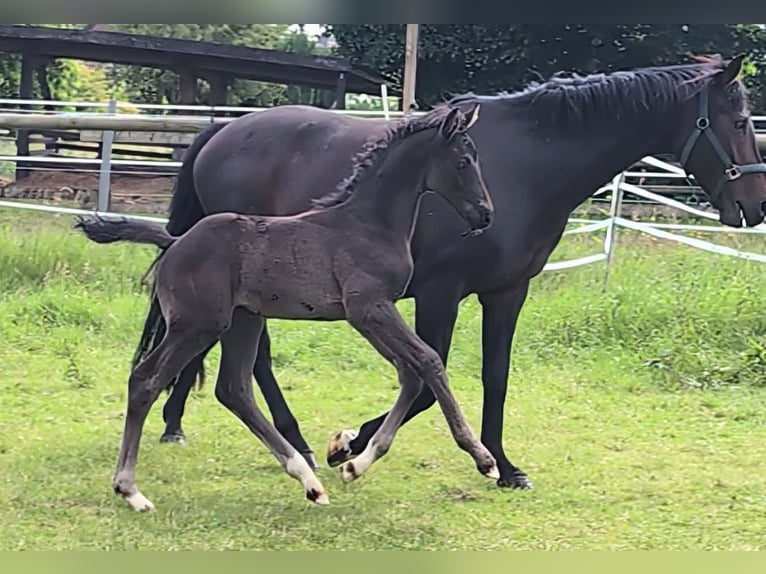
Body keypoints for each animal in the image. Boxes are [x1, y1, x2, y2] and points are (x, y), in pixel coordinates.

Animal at [74, 103, 496, 512]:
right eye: (463, 161)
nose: (486, 213)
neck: (367, 224)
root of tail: (175, 240)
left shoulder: (370, 314)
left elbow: (410, 374)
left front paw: (353, 464)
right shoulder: (369, 308)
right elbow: (429, 361)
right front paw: (483, 459)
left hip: (243, 320)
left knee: (233, 389)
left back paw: (308, 480)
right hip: (198, 324)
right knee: (146, 380)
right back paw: (131, 490)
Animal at [136, 54, 766, 490]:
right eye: (738, 121)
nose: (754, 207)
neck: (526, 167)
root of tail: (220, 131)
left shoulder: (507, 292)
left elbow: (493, 377)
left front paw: (504, 466)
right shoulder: (439, 295)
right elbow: (423, 381)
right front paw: (349, 445)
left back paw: (179, 422)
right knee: (249, 358)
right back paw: (290, 442)